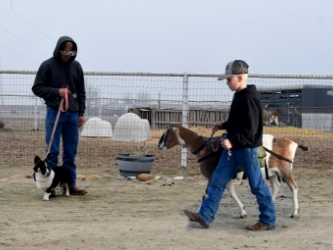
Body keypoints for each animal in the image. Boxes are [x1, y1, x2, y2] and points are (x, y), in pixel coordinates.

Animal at [158, 125, 306, 219]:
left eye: (166, 134)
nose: (159, 145)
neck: (207, 148)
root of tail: (293, 143)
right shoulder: (226, 177)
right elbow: (232, 193)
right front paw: (243, 212)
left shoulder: (213, 176)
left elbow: (206, 195)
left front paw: (197, 214)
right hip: (273, 173)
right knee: (276, 187)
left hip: (285, 171)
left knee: (294, 188)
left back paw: (294, 213)